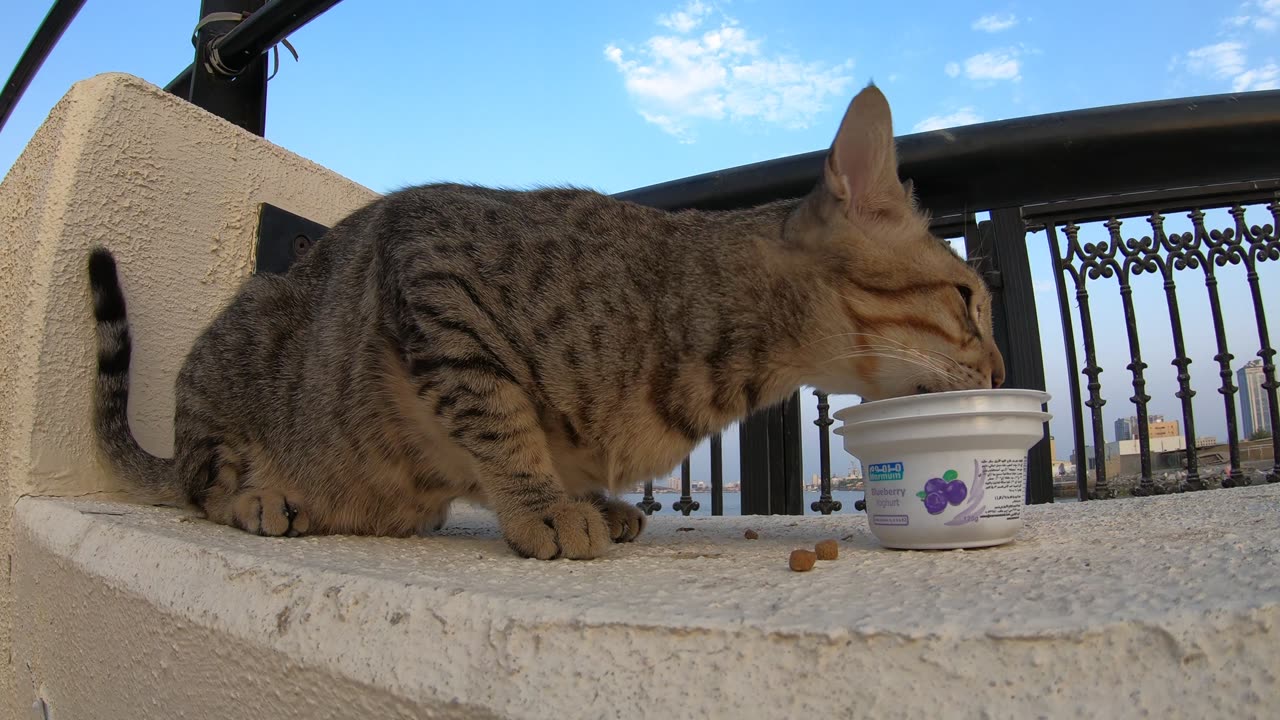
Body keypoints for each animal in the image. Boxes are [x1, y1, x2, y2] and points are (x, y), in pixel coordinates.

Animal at [90, 82, 1003, 556]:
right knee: (201, 486)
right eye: (968, 301)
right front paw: (544, 506)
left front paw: (589, 496)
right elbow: (500, 419)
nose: (1000, 372)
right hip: (236, 367)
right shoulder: (431, 267)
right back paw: (261, 499)